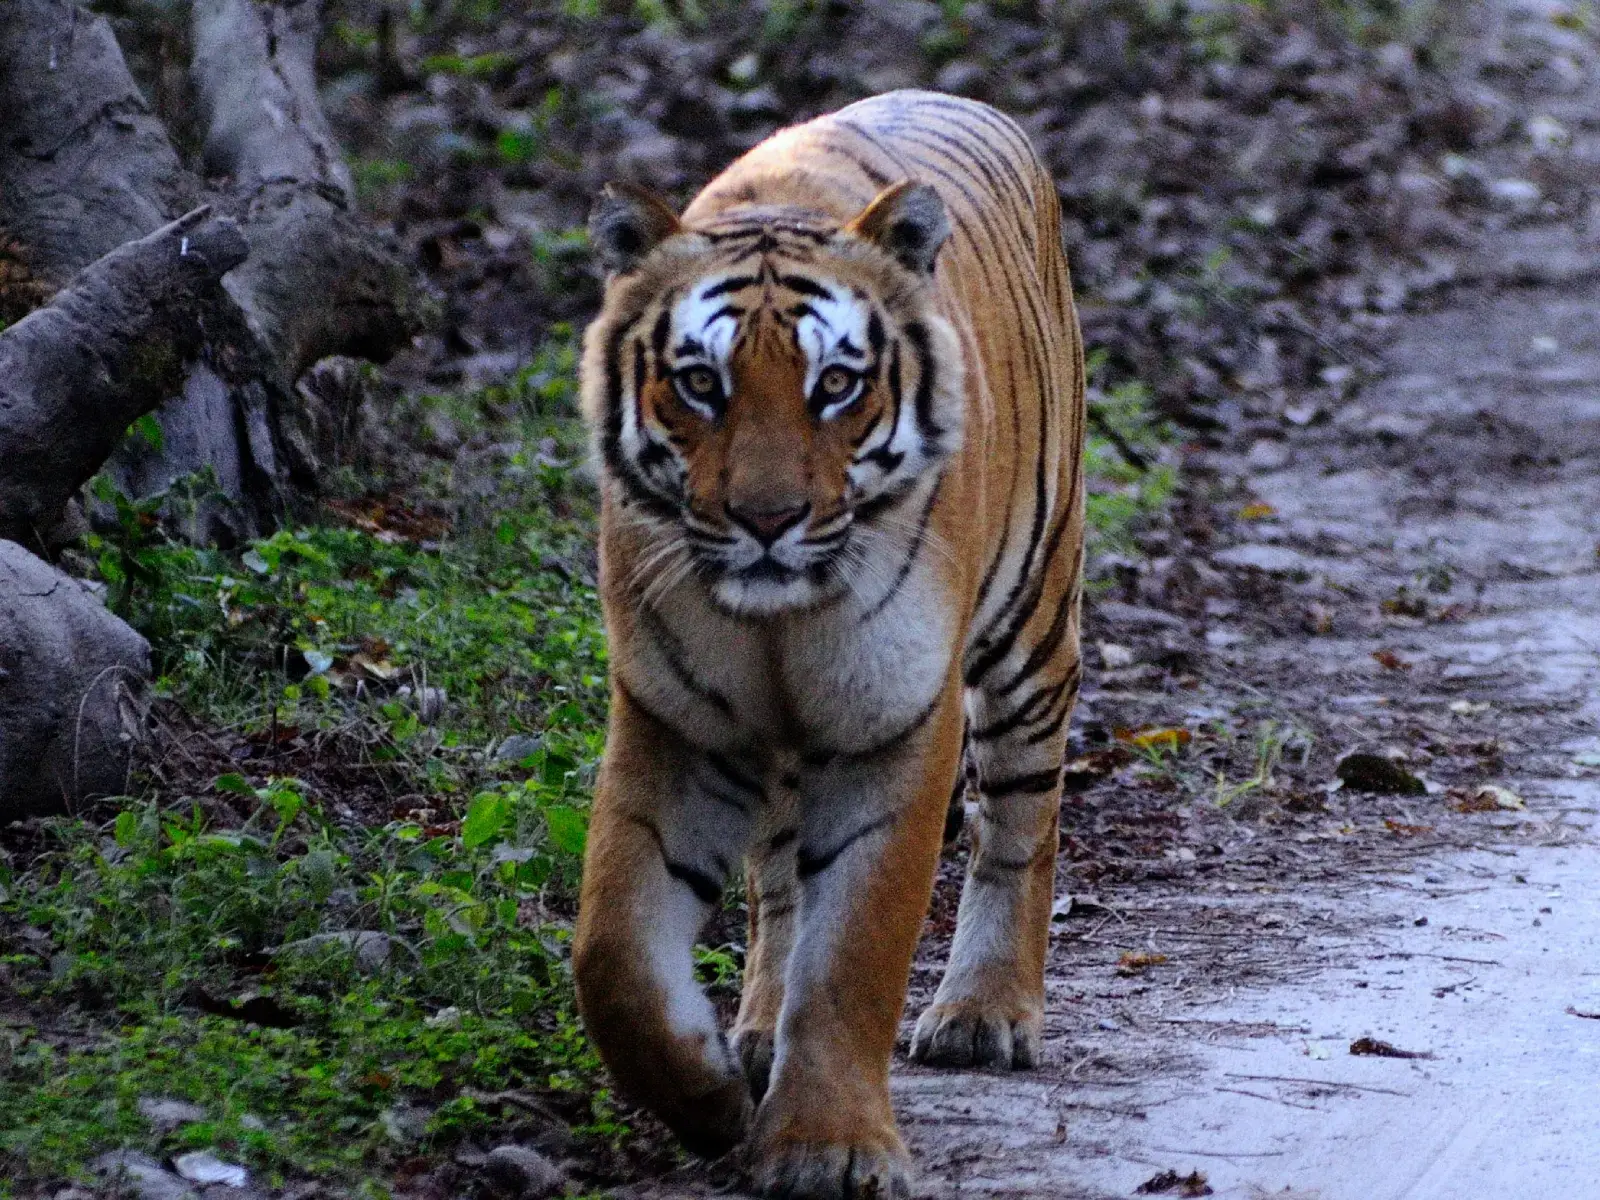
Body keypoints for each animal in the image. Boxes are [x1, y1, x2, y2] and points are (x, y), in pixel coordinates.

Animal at [572, 89, 1088, 1196]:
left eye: (838, 386)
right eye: (700, 384)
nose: (768, 518)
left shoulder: (894, 720)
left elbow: (855, 953)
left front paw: (827, 1149)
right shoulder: (674, 718)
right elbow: (614, 955)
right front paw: (707, 1097)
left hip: (1032, 627)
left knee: (1019, 822)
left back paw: (983, 1015)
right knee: (773, 883)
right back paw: (759, 1032)